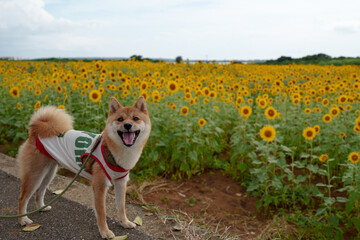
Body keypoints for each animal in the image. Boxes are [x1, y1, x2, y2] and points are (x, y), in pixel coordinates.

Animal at [16, 96, 151, 238]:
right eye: (120, 119)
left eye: (135, 118)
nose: (127, 125)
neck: (114, 150)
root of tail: (36, 132)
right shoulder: (100, 186)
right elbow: (102, 213)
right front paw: (105, 231)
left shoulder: (121, 182)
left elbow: (121, 207)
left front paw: (125, 222)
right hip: (35, 174)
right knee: (22, 198)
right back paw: (23, 219)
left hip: (49, 173)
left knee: (39, 191)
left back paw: (42, 207)